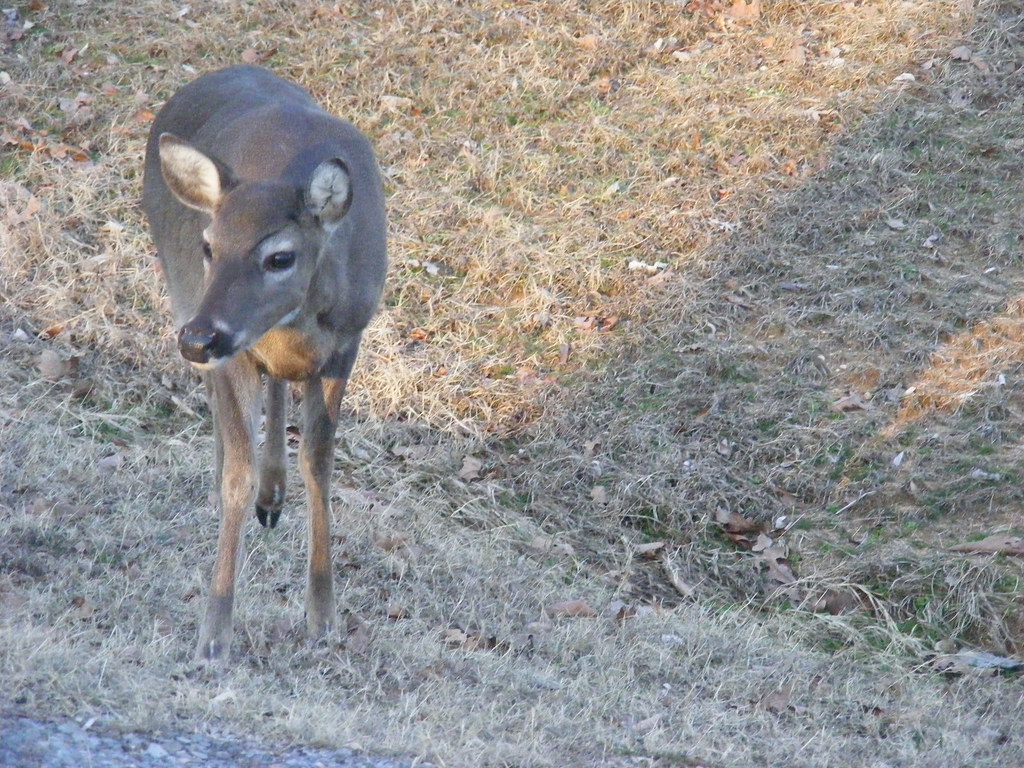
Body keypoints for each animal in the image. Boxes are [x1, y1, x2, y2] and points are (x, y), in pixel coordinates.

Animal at [142, 65, 387, 662]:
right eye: (209, 245)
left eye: (280, 256)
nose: (198, 339)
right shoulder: (229, 346)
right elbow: (238, 471)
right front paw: (214, 633)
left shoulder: (346, 343)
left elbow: (319, 464)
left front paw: (322, 616)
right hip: (183, 294)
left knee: (275, 388)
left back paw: (274, 497)